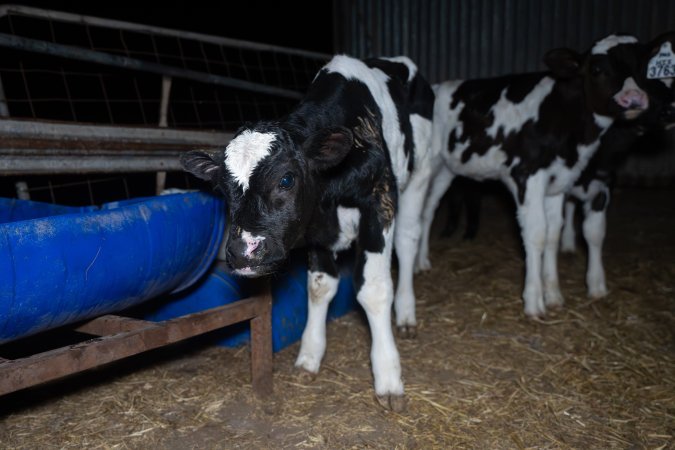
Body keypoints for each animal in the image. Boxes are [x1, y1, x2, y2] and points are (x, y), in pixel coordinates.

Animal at [180, 54, 435, 411]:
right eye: (222, 187)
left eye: (286, 179)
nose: (243, 251)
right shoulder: (316, 226)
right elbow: (319, 287)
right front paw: (309, 357)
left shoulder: (379, 201)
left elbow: (373, 289)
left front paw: (388, 378)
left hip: (421, 174)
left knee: (408, 241)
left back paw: (407, 314)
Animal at [416, 34, 652, 318]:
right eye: (597, 69)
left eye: (642, 66)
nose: (635, 98)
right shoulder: (527, 176)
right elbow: (536, 233)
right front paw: (533, 301)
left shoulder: (558, 182)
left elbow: (553, 234)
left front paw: (554, 295)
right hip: (429, 164)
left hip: (447, 169)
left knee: (428, 210)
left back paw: (422, 261)